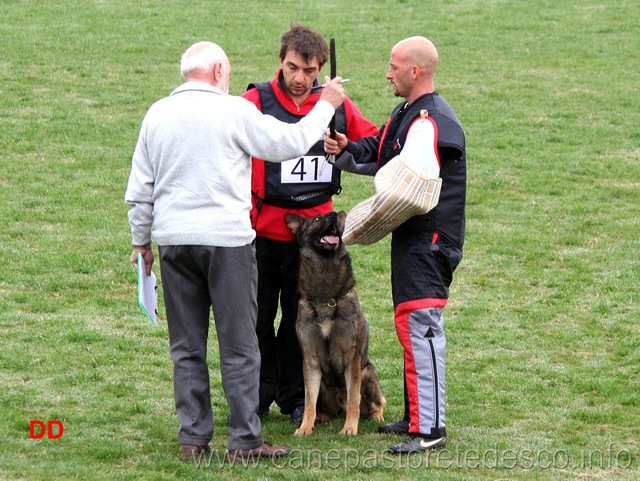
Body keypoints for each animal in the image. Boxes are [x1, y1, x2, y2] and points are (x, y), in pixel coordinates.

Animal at [288, 210, 388, 436]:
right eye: (316, 219)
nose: (333, 214)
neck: (327, 298)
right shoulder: (311, 362)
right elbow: (309, 402)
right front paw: (305, 427)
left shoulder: (352, 359)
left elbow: (353, 400)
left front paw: (350, 428)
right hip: (324, 384)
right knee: (322, 406)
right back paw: (323, 416)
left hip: (367, 374)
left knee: (375, 403)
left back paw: (376, 416)